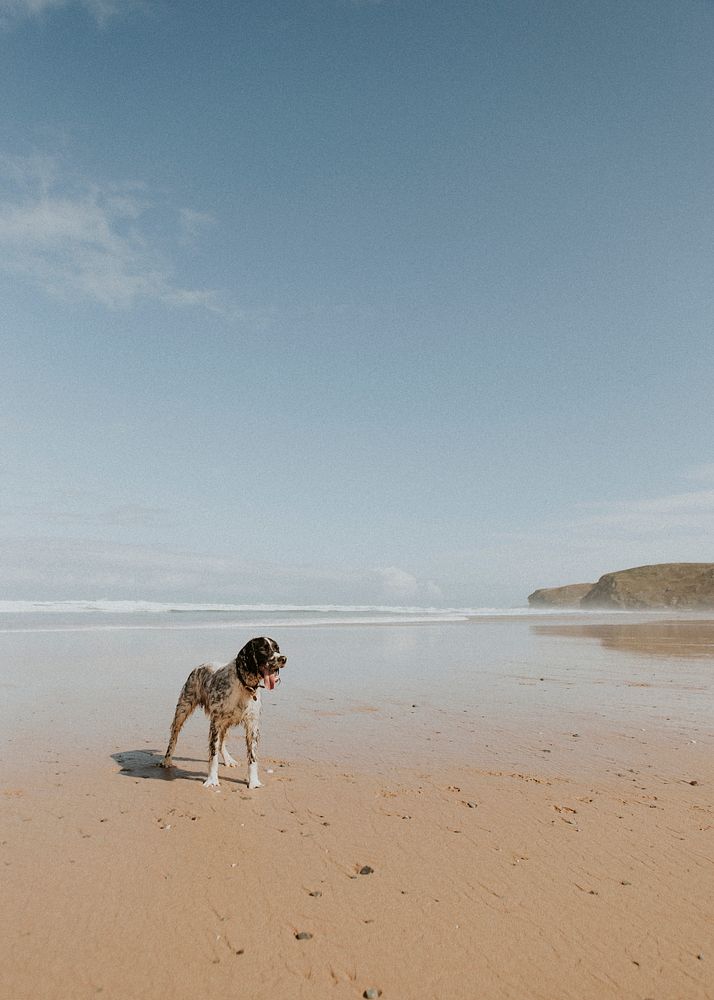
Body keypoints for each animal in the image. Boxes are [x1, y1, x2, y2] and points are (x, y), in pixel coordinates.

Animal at [160, 640, 286, 788]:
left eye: (277, 648)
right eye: (263, 649)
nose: (283, 658)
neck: (243, 686)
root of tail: (200, 666)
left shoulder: (252, 725)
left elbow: (252, 757)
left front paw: (254, 781)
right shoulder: (216, 722)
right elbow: (213, 754)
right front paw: (212, 780)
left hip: (227, 722)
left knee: (222, 742)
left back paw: (228, 759)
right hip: (183, 709)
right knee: (174, 737)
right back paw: (167, 760)